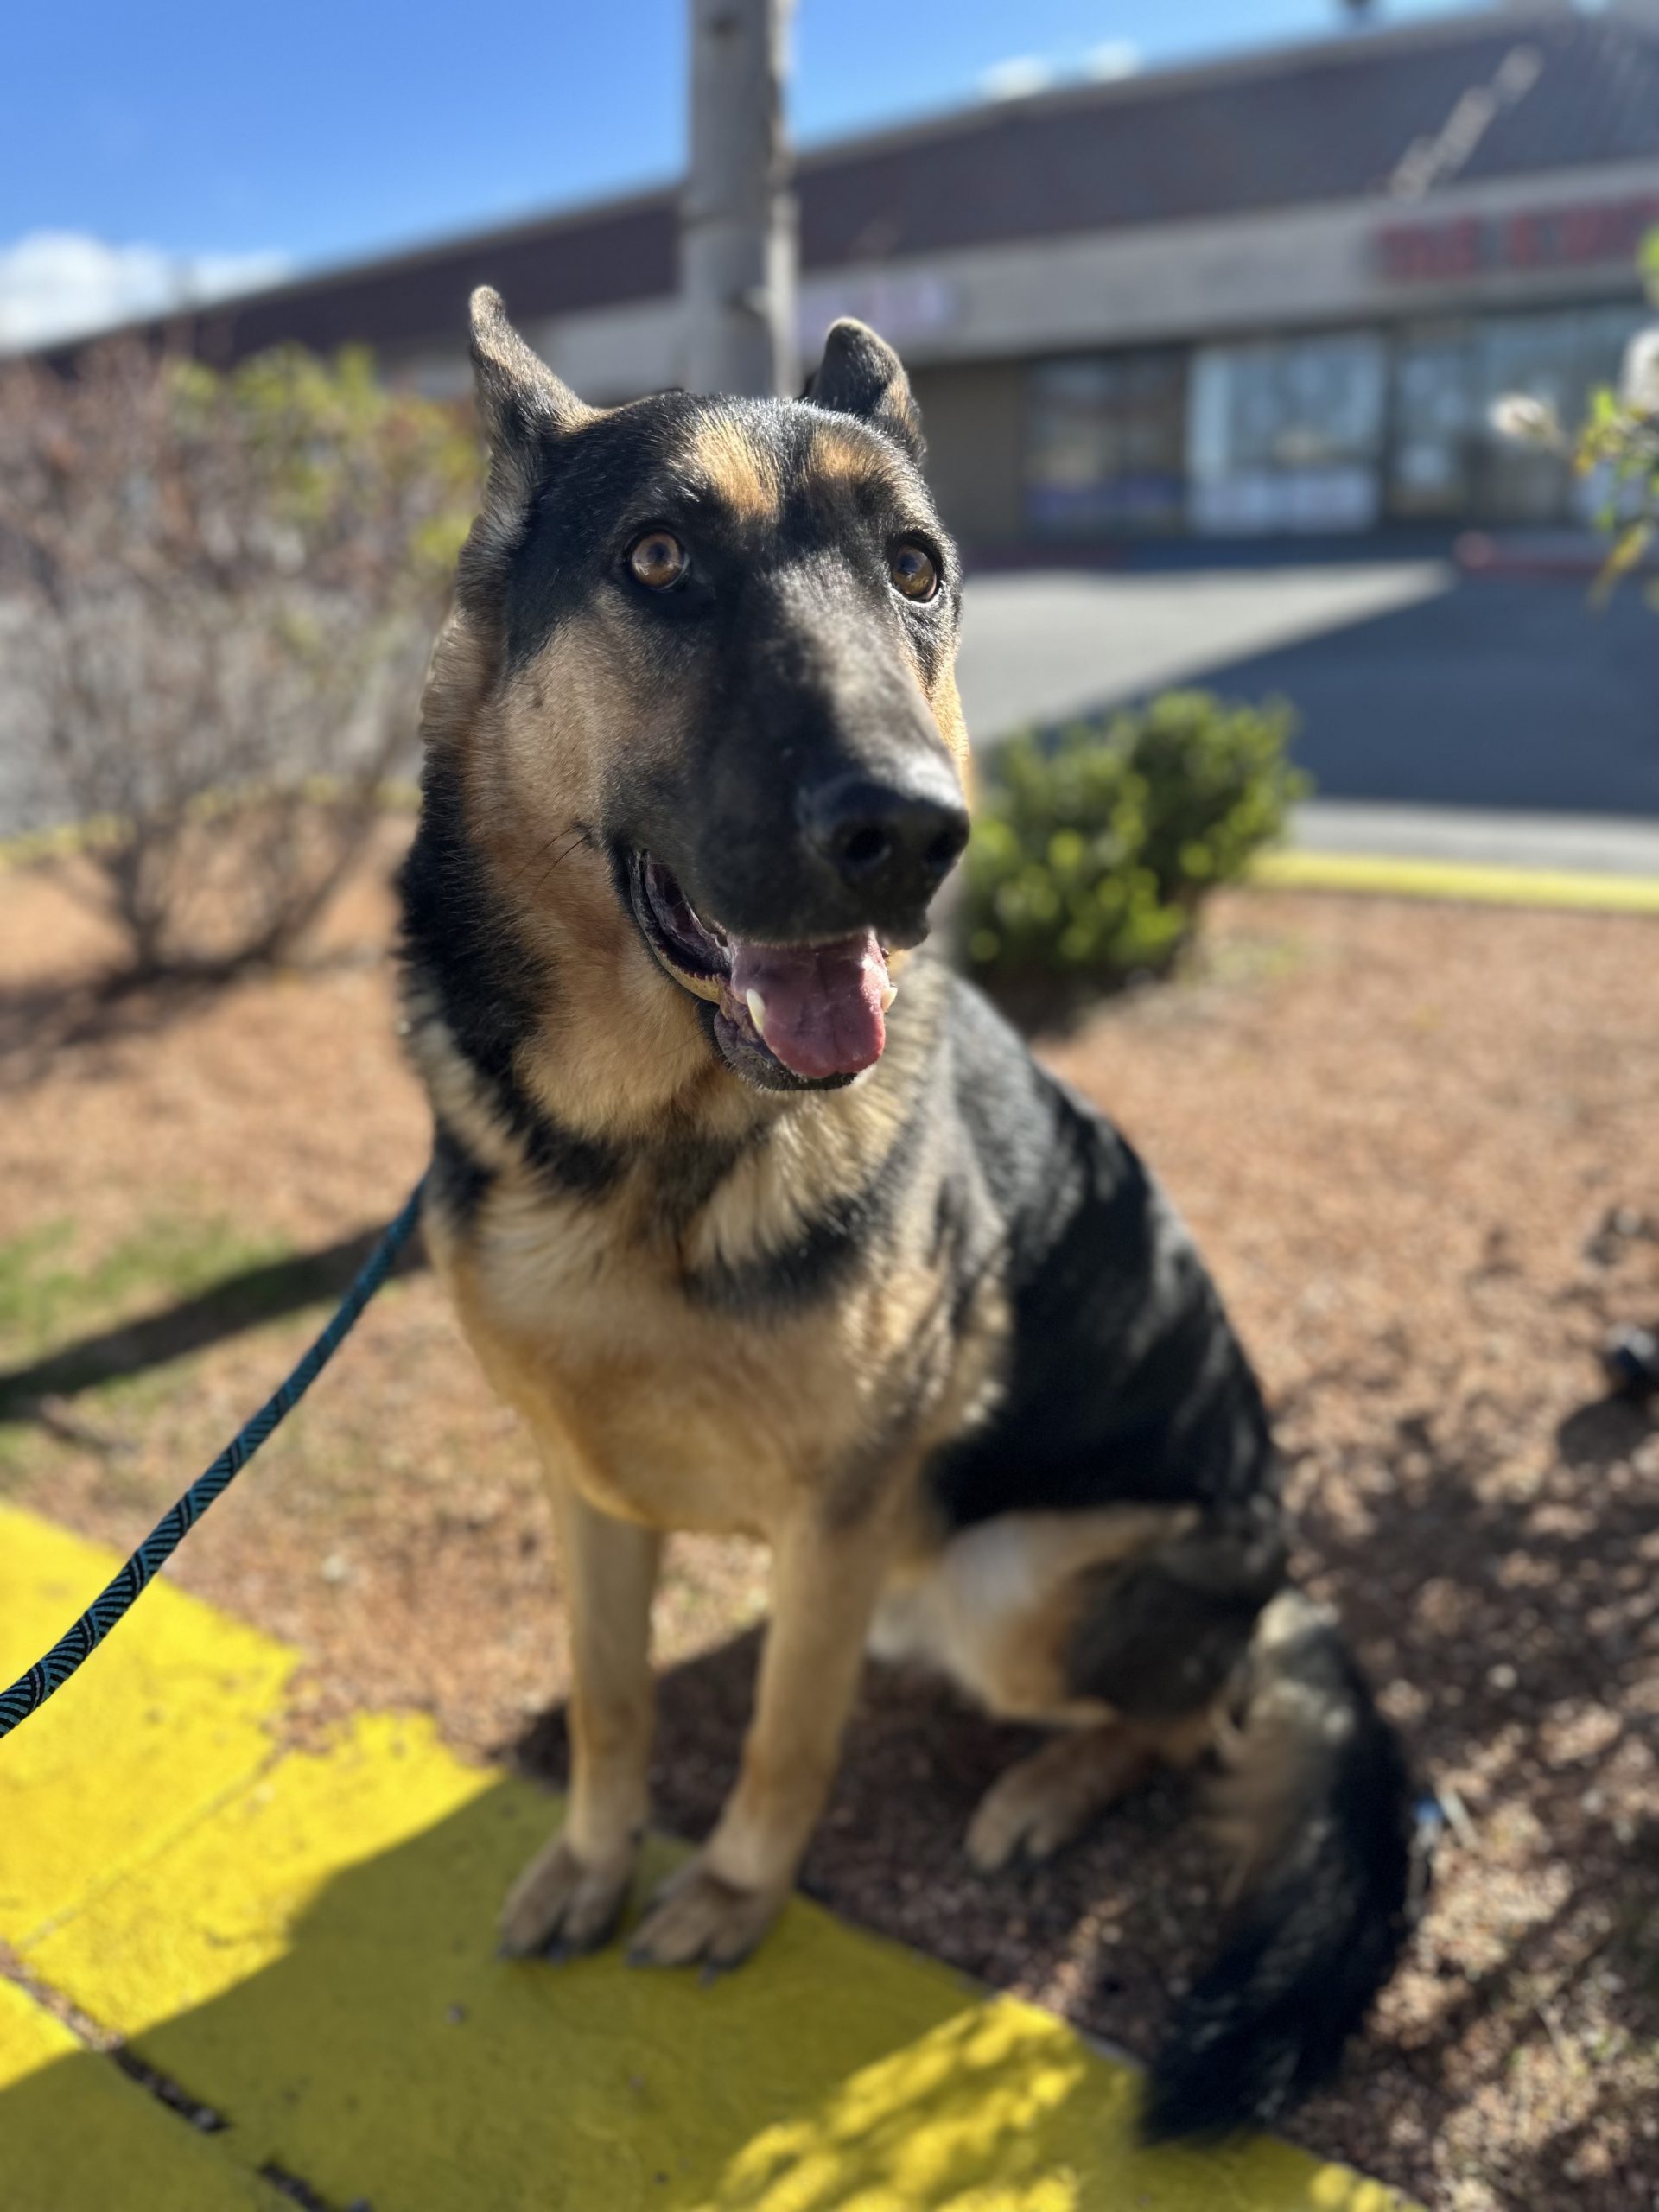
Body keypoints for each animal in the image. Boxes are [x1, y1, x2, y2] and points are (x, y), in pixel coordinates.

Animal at [397, 286, 1414, 2138]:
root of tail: (1282, 1571)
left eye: (918, 570)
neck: (646, 1153)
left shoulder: (842, 1504)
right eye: (659, 560)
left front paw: (732, 1892)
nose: (914, 836)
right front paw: (593, 1860)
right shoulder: (585, 1493)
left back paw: (1050, 1787)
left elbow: (786, 1734)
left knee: (1192, 1720)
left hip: (1012, 1578)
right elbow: (611, 1702)